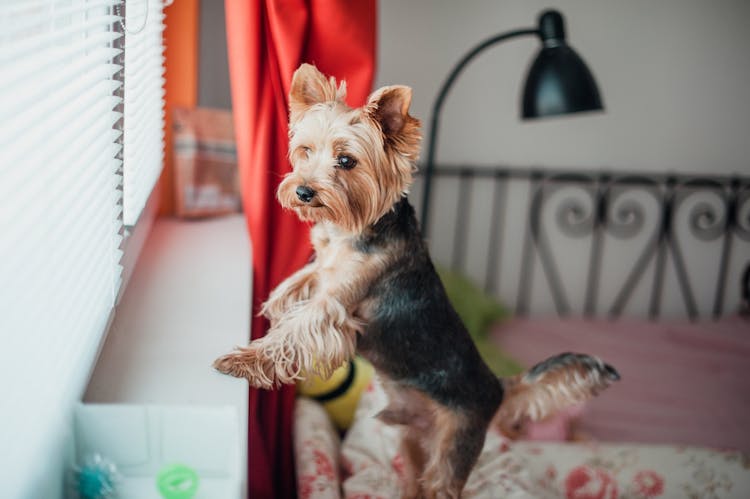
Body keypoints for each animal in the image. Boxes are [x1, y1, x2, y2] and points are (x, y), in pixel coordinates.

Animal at [214, 64, 620, 498]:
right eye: (305, 151)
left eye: (346, 160)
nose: (304, 191)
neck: (353, 226)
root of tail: (497, 386)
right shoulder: (322, 268)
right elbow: (297, 282)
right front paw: (273, 303)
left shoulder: (336, 303)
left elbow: (295, 330)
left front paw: (244, 359)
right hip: (412, 437)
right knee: (414, 473)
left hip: (456, 439)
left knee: (441, 482)